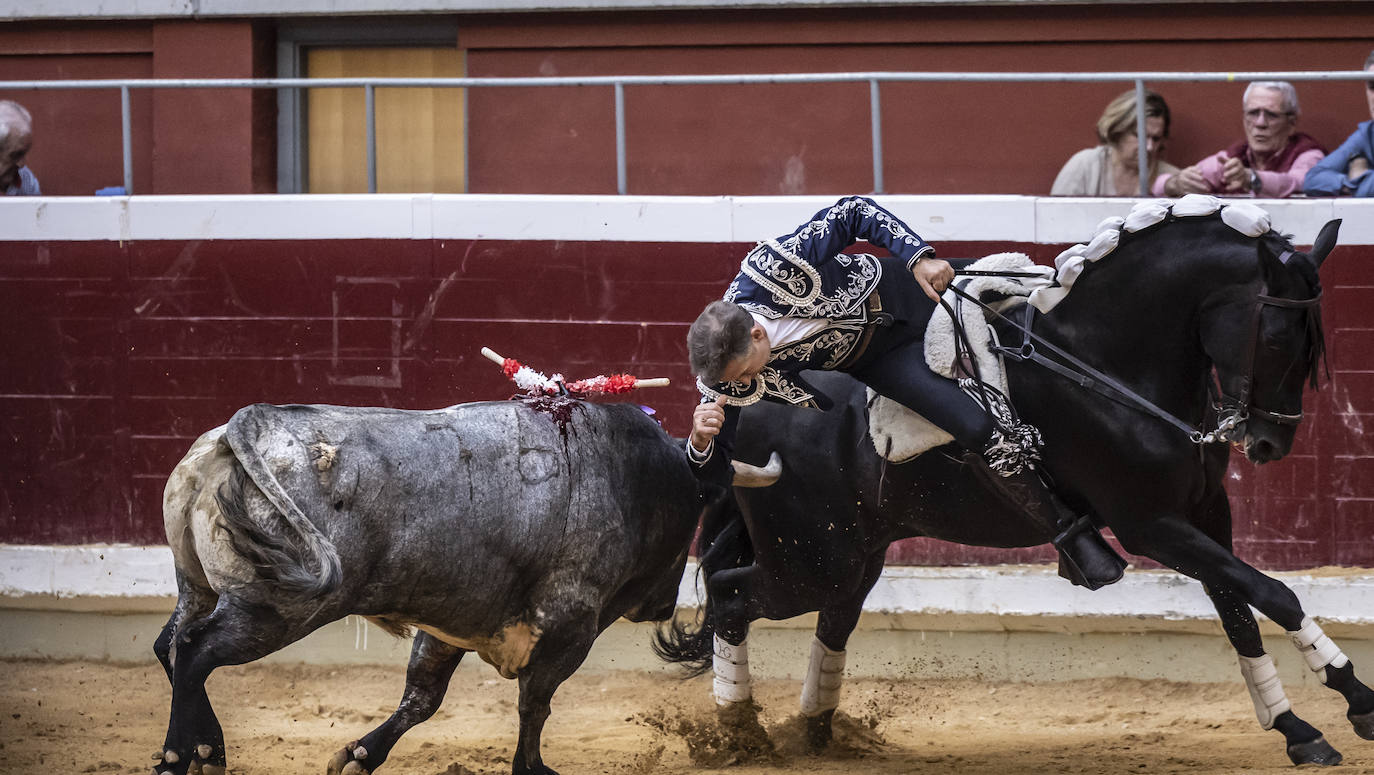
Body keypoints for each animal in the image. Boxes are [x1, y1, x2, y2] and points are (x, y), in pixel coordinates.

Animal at [150, 398, 774, 775]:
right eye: (700, 505)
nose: (665, 605)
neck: (625, 473)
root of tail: (250, 426)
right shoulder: (570, 627)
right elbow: (535, 703)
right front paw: (533, 767)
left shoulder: (447, 624)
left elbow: (421, 700)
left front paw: (357, 755)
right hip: (278, 608)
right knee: (197, 650)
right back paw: (185, 752)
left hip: (200, 587)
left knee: (172, 645)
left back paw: (205, 750)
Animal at [659, 203, 1368, 764]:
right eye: (1278, 336)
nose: (1270, 444)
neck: (1103, 359)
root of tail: (749, 416)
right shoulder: (1151, 526)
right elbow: (1273, 592)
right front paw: (1355, 697)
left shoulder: (1206, 512)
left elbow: (1237, 609)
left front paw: (1297, 729)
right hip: (808, 561)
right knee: (732, 597)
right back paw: (739, 734)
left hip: (852, 559)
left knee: (830, 621)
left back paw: (816, 732)